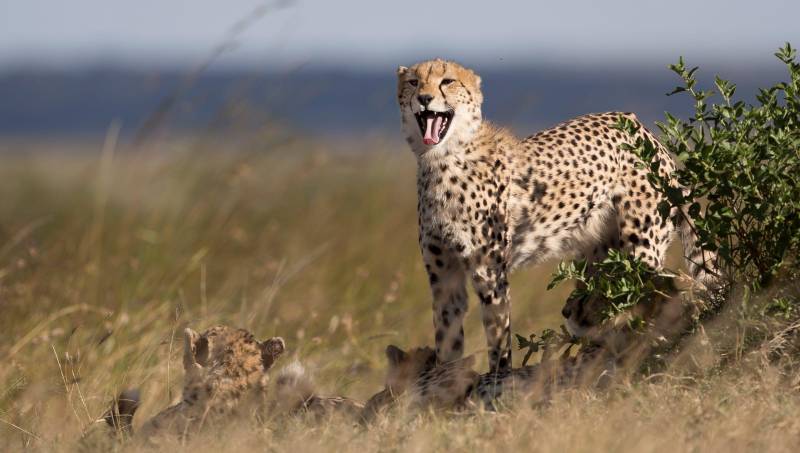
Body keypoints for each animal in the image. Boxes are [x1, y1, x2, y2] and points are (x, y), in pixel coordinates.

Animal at [396, 58, 716, 372]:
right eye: (414, 82)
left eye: (447, 81)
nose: (424, 98)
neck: (441, 161)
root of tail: (643, 131)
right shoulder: (444, 278)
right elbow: (447, 338)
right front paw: (445, 378)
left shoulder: (490, 274)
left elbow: (498, 337)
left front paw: (497, 378)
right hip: (600, 255)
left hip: (641, 249)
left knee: (652, 296)